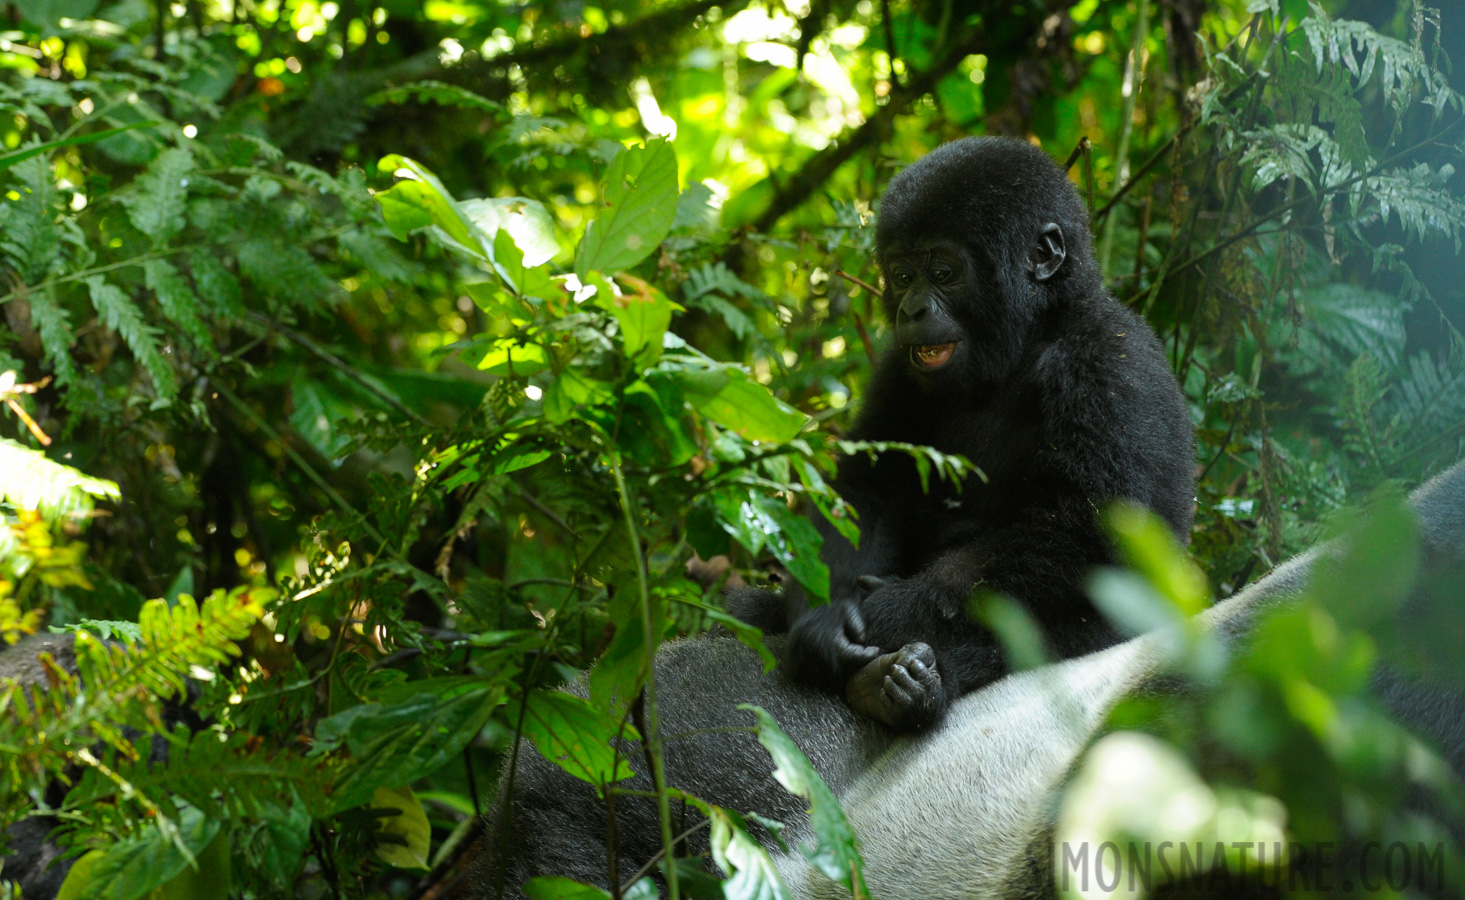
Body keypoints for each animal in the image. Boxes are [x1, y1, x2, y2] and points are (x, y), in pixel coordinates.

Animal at [738, 139, 1195, 732]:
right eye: (902, 275)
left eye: (943, 271)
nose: (911, 310)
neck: (1029, 336)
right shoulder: (897, 368)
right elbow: (869, 485)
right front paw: (824, 619)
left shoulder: (1110, 363)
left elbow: (1086, 531)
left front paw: (889, 613)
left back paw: (903, 686)